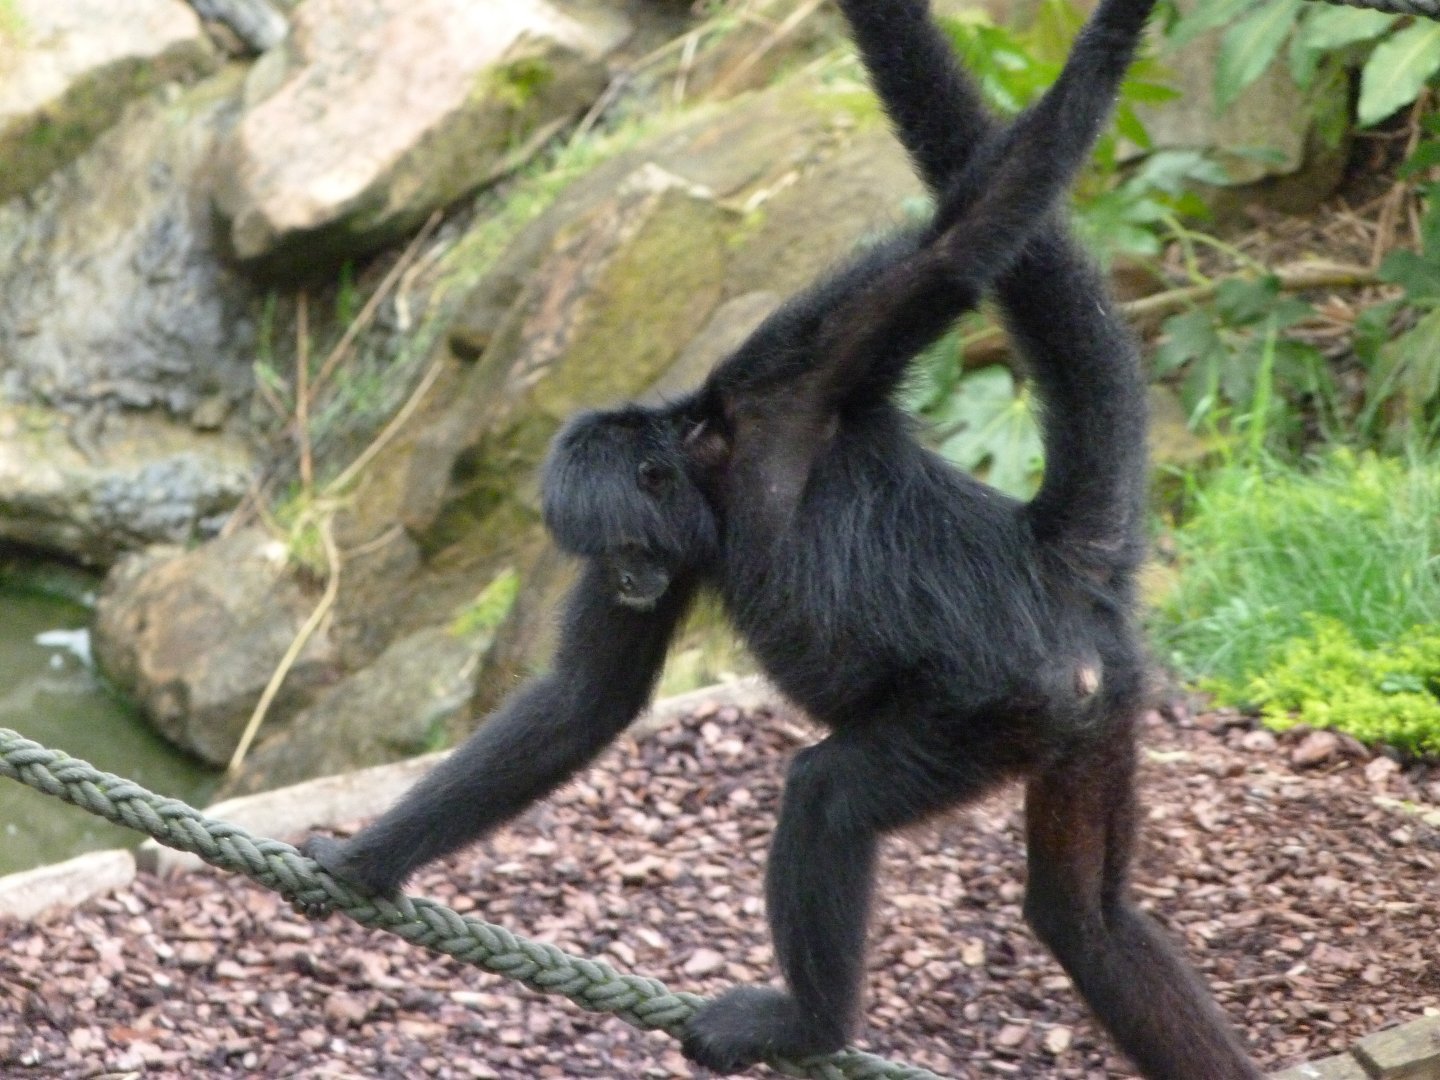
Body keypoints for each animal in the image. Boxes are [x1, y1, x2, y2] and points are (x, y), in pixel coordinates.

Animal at [305, 0, 1265, 1074]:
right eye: (608, 555)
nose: (629, 577)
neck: (712, 470)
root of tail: (1049, 560)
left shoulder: (784, 381)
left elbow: (958, 243)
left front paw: (1110, 39)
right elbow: (584, 701)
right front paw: (365, 860)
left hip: (995, 706)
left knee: (829, 791)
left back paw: (809, 1025)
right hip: (1097, 709)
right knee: (1086, 918)